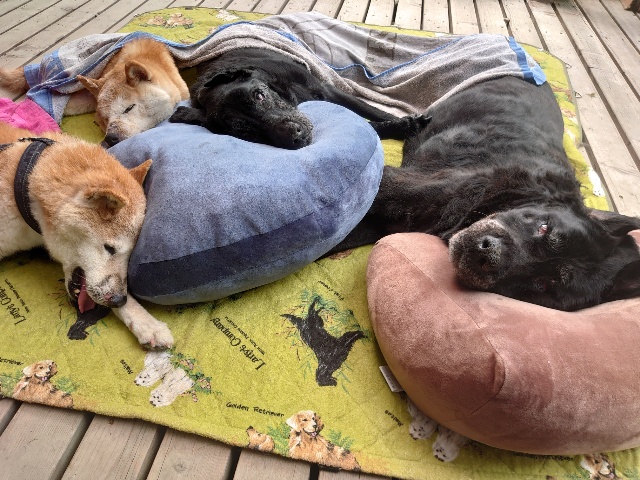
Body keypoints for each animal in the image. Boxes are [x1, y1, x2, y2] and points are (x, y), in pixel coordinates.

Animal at [169, 47, 424, 149]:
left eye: (259, 95)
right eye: (246, 133)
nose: (295, 136)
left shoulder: (327, 89)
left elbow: (372, 110)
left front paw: (411, 118)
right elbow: (370, 126)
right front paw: (402, 126)